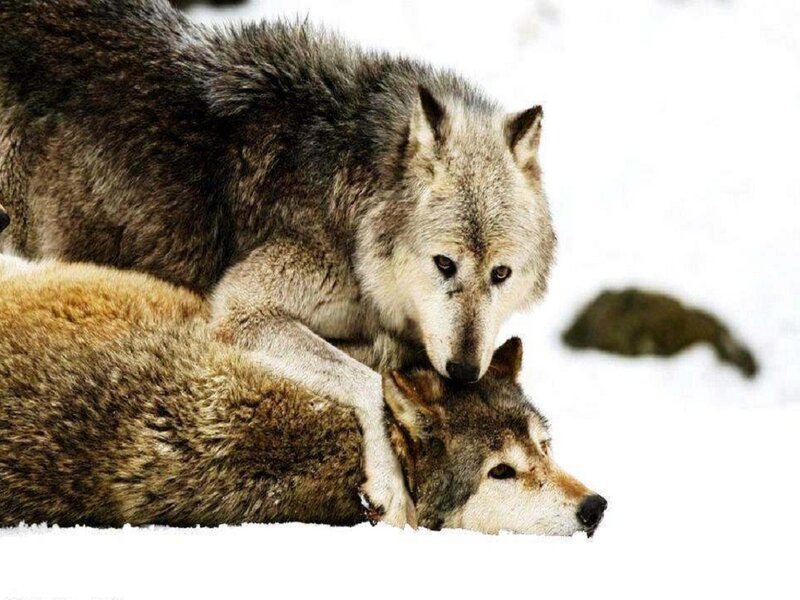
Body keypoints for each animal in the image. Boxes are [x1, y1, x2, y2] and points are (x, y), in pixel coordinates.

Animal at [0, 0, 556, 525]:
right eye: (443, 264)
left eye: (501, 274)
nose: (463, 371)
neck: (354, 206)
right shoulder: (242, 309)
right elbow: (368, 382)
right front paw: (392, 487)